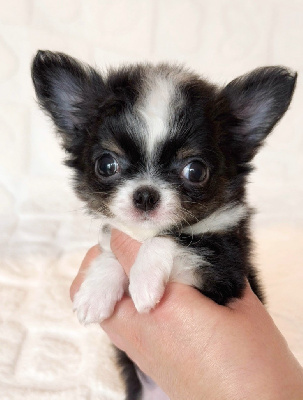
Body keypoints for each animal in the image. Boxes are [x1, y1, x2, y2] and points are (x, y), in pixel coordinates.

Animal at [32, 50, 298, 400]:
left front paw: (143, 282)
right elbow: (111, 251)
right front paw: (95, 291)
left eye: (195, 171)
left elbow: (173, 240)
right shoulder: (117, 234)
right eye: (106, 165)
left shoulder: (223, 271)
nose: (146, 194)